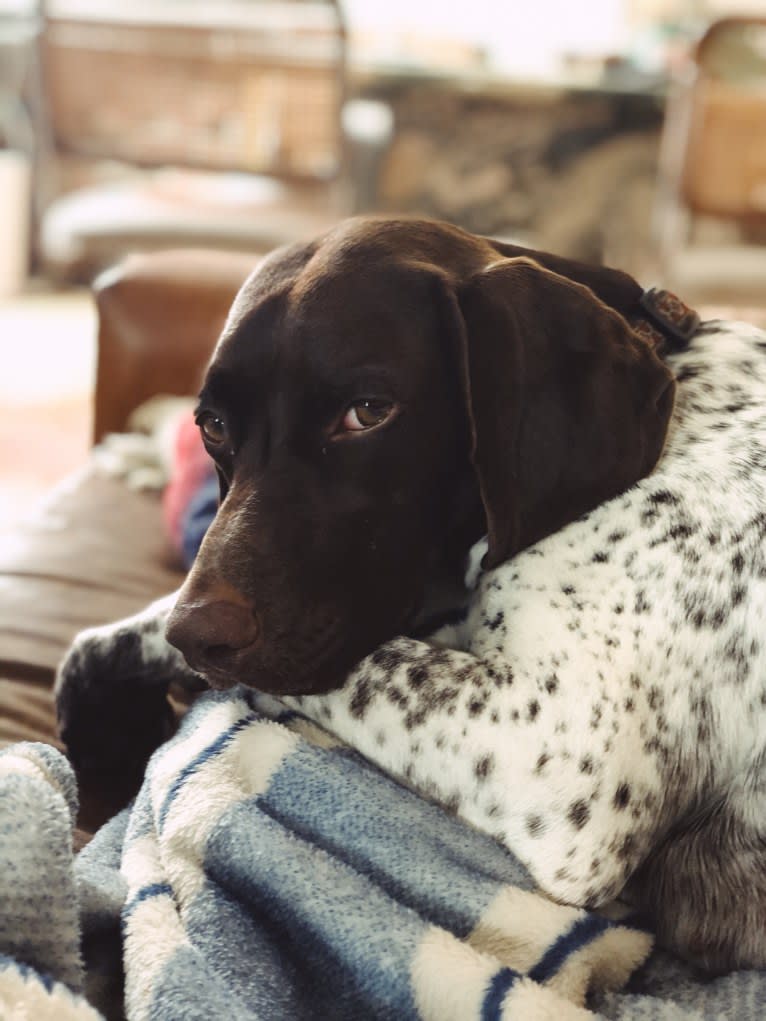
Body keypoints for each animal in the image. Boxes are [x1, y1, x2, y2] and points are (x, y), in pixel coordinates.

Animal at [56, 217, 766, 971]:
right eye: (214, 426)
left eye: (367, 412)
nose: (199, 636)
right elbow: (117, 636)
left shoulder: (558, 746)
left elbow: (355, 666)